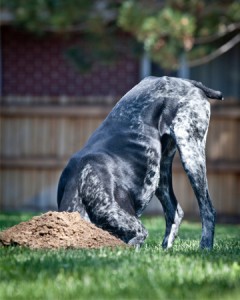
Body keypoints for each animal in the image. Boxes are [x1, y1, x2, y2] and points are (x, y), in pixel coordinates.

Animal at [58, 76, 223, 250]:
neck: (79, 186)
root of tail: (186, 81)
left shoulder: (131, 225)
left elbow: (134, 240)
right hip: (160, 172)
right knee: (175, 212)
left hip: (189, 151)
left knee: (207, 209)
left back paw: (205, 246)